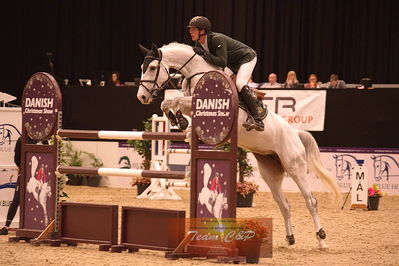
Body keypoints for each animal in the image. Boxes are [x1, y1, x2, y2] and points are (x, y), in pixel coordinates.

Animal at [138, 42, 340, 249]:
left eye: (152, 68)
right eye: (142, 68)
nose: (142, 97)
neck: (198, 72)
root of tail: (295, 134)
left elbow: (176, 100)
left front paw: (181, 122)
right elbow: (168, 102)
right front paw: (180, 121)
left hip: (295, 167)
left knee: (311, 201)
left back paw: (321, 239)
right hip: (270, 173)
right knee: (284, 204)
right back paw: (290, 239)